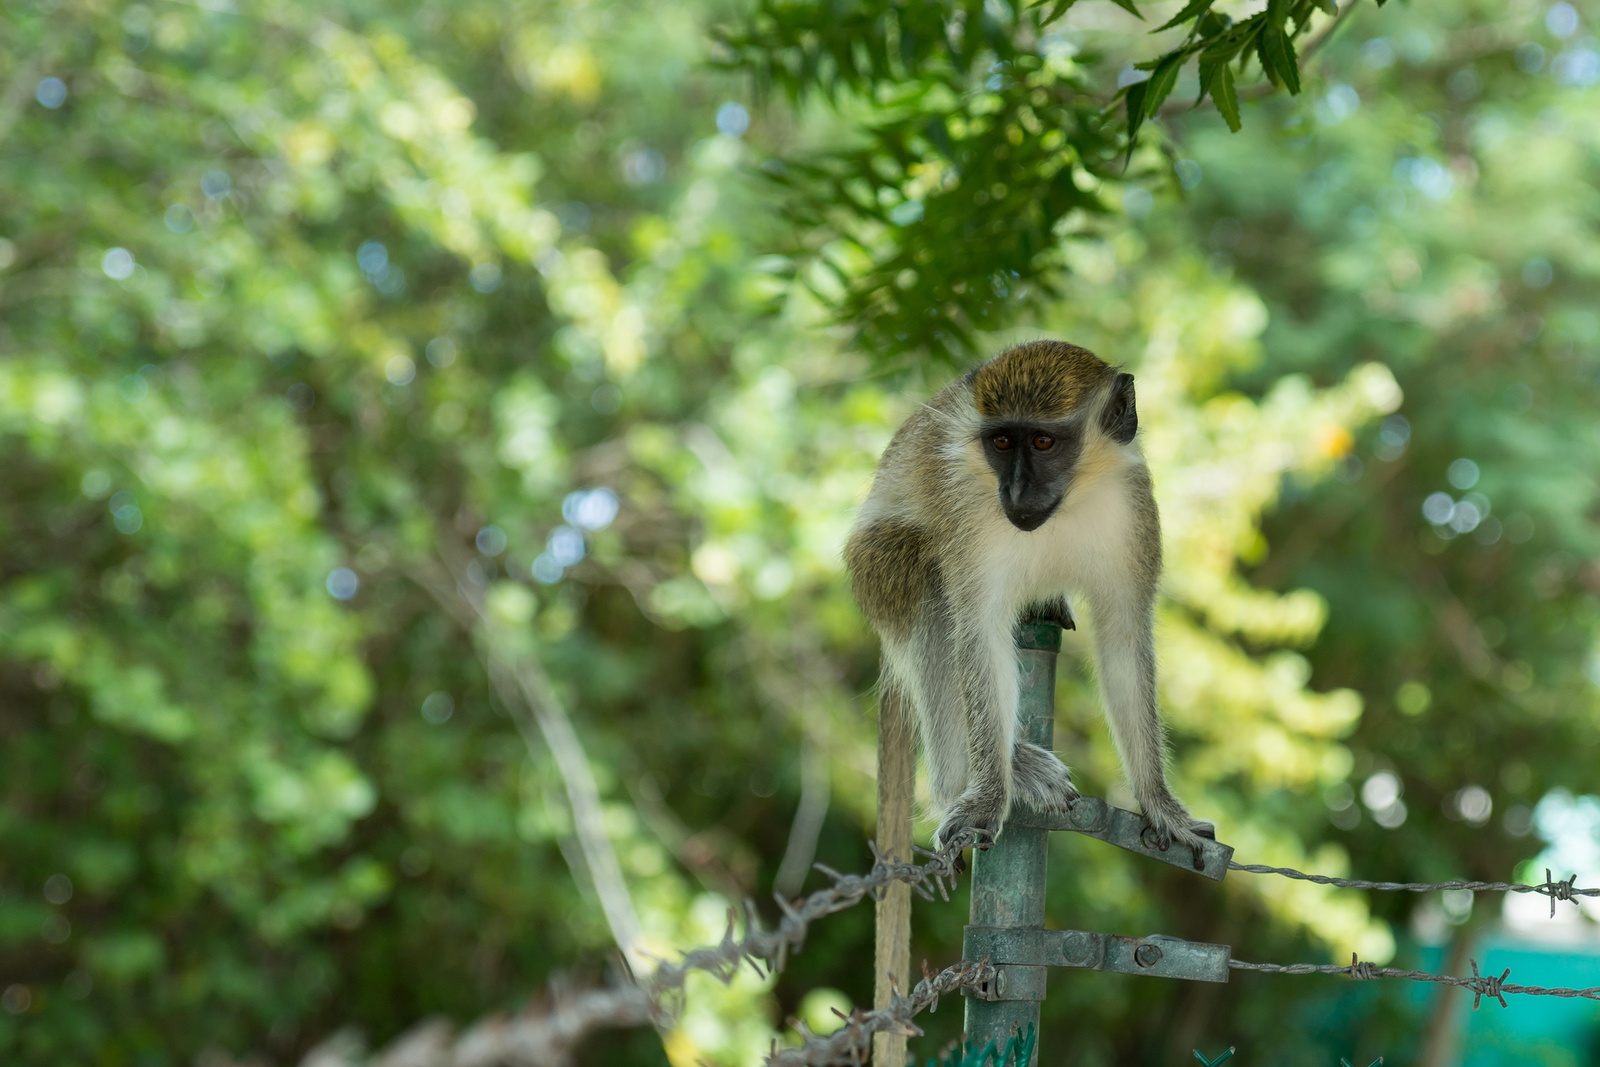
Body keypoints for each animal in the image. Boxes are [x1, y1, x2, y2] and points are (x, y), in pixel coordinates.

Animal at [851, 342, 1209, 870]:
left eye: (1042, 442)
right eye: (1001, 442)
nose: (1016, 492)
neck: (1069, 503)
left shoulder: (1134, 508)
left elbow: (1124, 641)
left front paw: (1160, 804)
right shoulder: (967, 512)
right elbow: (979, 637)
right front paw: (987, 799)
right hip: (876, 569)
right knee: (932, 593)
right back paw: (979, 776)